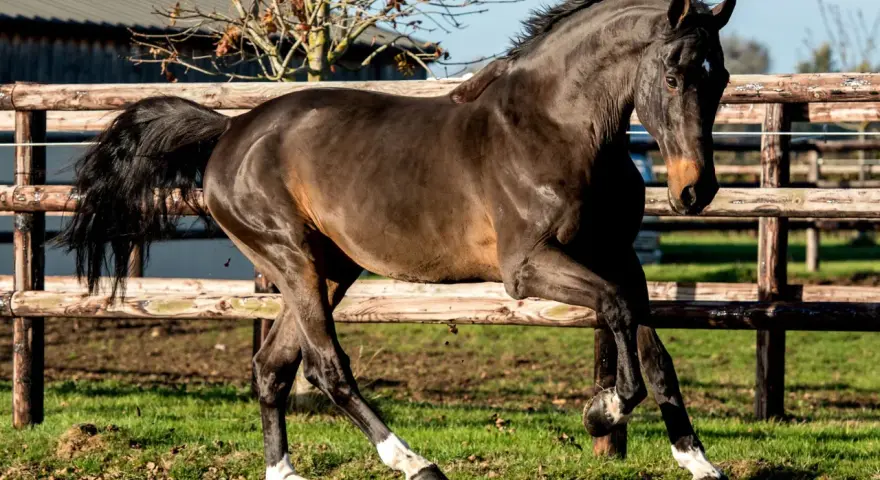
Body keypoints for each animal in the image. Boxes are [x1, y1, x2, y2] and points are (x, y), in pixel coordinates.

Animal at [58, 0, 736, 478]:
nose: (694, 192)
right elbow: (619, 318)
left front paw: (697, 462)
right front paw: (604, 412)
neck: (556, 129)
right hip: (292, 258)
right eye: (672, 76)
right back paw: (415, 464)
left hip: (330, 267)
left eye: (721, 76)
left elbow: (654, 352)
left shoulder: (618, 258)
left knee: (272, 366)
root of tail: (230, 130)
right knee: (327, 368)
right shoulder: (529, 267)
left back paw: (286, 472)